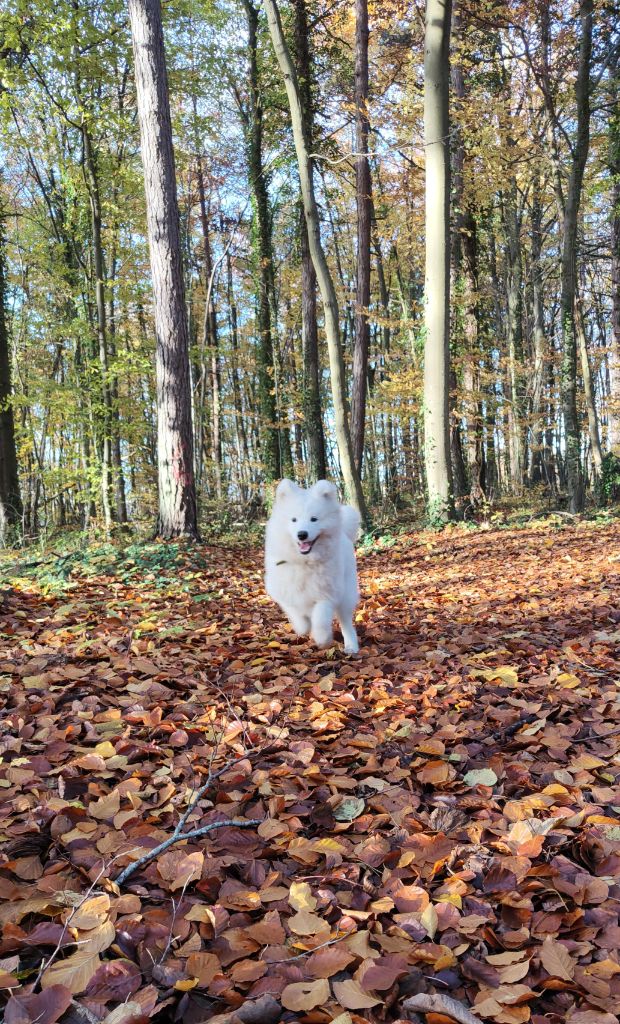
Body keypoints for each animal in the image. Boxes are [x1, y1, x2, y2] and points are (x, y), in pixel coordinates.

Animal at [264, 477, 360, 651]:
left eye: (314, 519)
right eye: (294, 520)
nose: (302, 534)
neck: (305, 561)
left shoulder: (328, 593)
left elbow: (320, 618)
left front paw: (322, 639)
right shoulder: (283, 591)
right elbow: (295, 612)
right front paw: (303, 627)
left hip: (346, 594)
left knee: (345, 622)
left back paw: (351, 646)